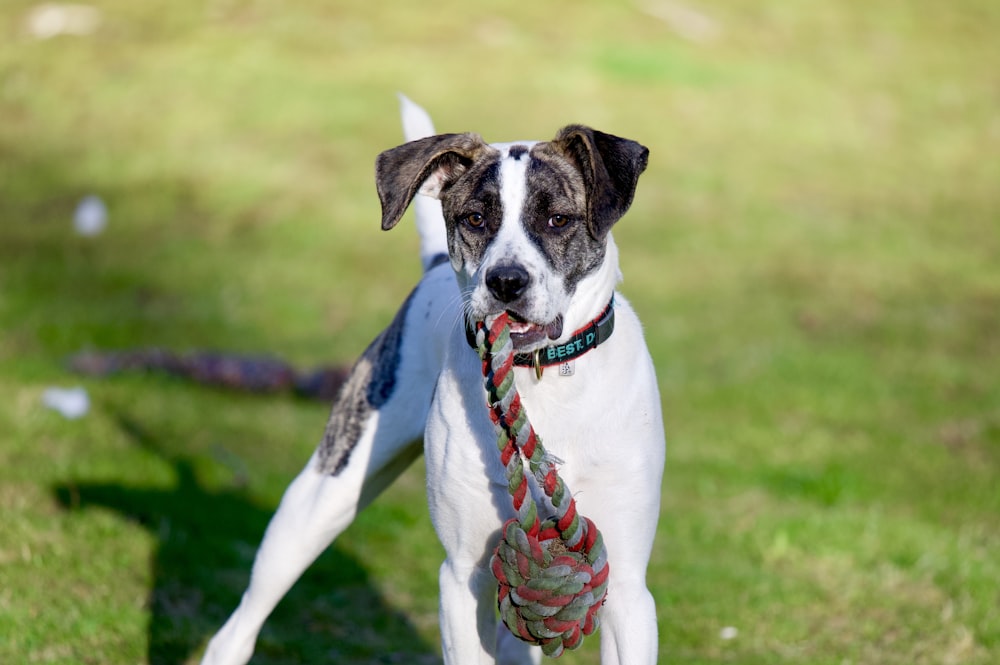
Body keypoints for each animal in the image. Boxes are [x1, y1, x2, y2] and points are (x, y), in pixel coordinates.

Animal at [197, 96, 664, 660]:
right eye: (475, 218)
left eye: (558, 219)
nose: (505, 281)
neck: (542, 376)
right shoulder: (463, 575)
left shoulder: (628, 590)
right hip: (319, 500)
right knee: (238, 626)